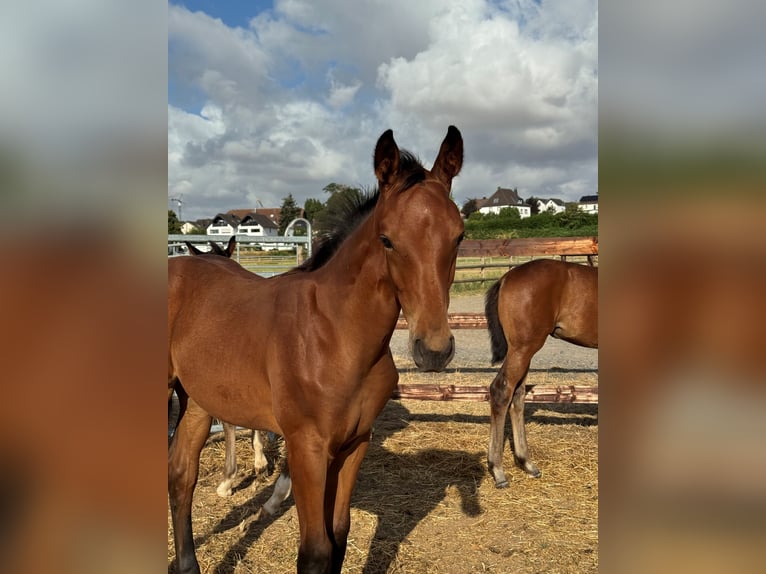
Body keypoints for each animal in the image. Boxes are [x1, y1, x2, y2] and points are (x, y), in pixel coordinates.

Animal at [168, 126, 465, 574]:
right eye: (387, 239)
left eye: (459, 236)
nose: (433, 350)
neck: (336, 335)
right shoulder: (306, 447)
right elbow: (315, 550)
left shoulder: (354, 443)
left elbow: (338, 535)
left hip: (198, 401)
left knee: (181, 473)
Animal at [484, 258, 598, 488]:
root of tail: (506, 278)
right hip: (523, 348)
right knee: (502, 391)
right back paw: (498, 470)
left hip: (522, 351)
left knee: (517, 395)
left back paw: (526, 462)